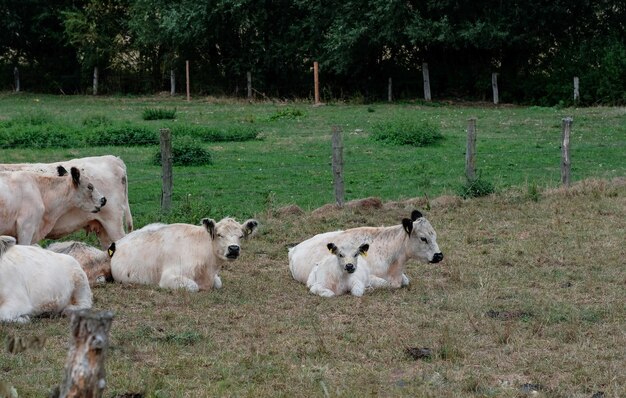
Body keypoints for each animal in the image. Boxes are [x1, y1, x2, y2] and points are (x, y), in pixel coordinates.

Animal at [0, 155, 132, 249]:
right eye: (89, 187)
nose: (103, 200)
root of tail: (114, 159)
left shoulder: (26, 228)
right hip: (103, 228)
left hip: (113, 223)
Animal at [110, 216, 258, 290]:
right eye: (219, 234)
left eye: (241, 236)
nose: (234, 249)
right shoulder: (168, 277)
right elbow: (193, 287)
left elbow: (218, 283)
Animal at [288, 210, 442, 288]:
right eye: (423, 238)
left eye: (435, 235)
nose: (439, 255)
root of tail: (294, 248)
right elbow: (384, 284)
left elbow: (405, 280)